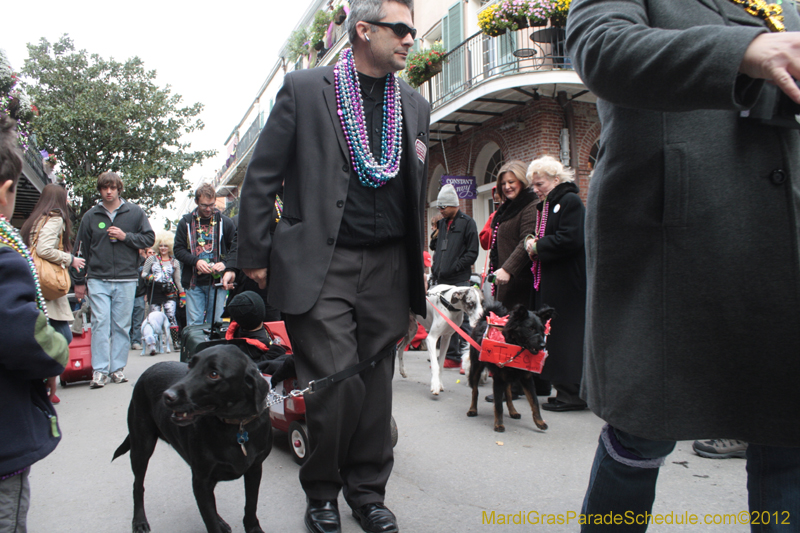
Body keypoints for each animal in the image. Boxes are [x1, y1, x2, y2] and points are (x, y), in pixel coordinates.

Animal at [112, 342, 274, 532]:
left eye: (214, 374)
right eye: (190, 365)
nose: (167, 396)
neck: (237, 426)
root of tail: (150, 369)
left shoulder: (254, 469)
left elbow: (251, 505)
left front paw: (253, 527)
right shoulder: (201, 480)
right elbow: (210, 521)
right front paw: (216, 523)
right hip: (141, 446)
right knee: (137, 486)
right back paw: (139, 521)